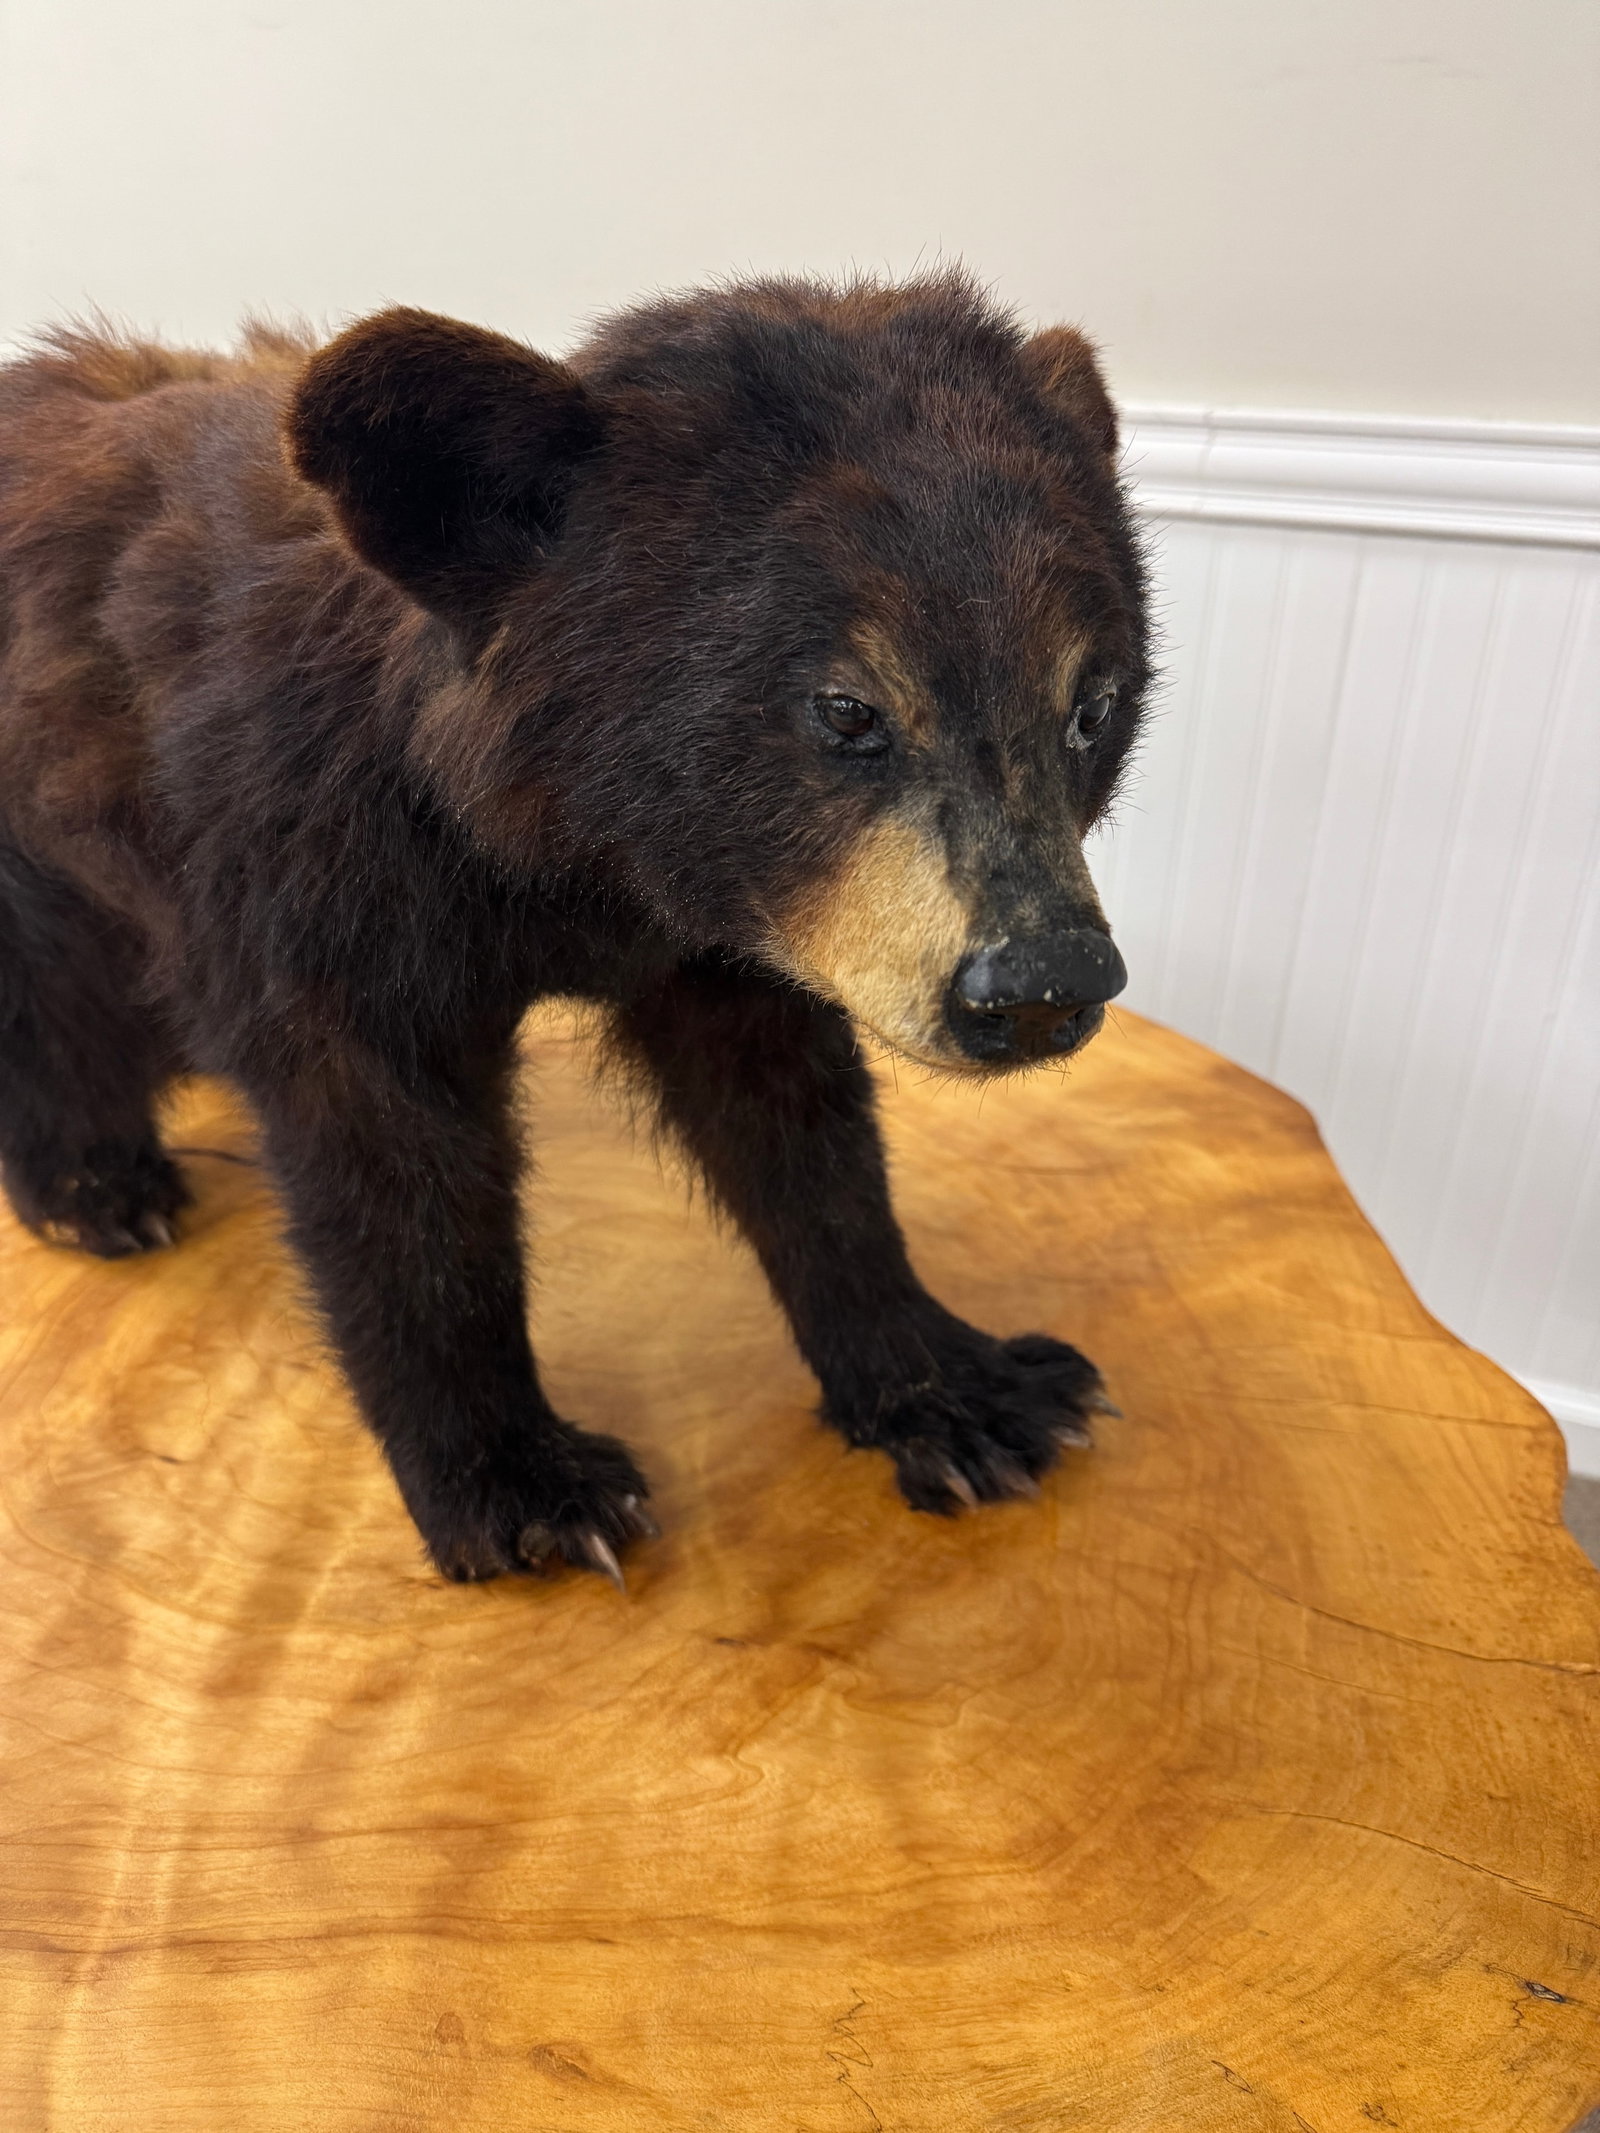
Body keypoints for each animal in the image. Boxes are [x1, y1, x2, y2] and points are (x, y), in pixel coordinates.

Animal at [0, 272, 1150, 1586]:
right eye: (845, 707)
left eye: (1093, 703)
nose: (1044, 983)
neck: (562, 856)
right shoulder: (308, 867)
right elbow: (390, 1162)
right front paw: (522, 1483)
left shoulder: (726, 931)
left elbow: (797, 1123)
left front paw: (964, 1392)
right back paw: (93, 1182)